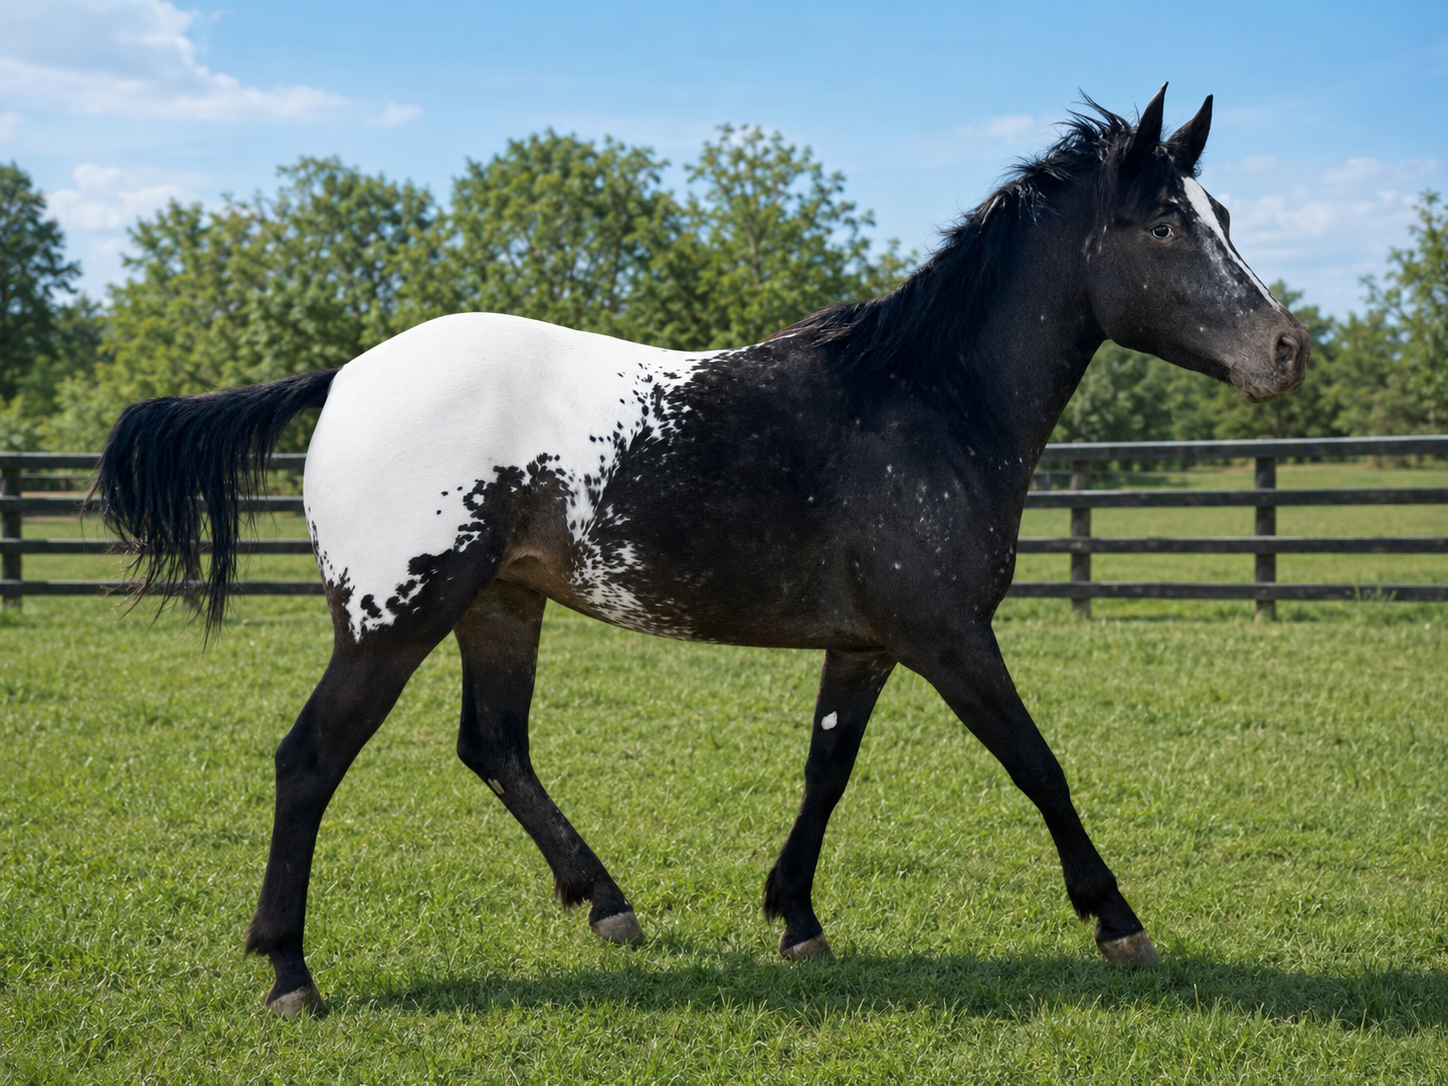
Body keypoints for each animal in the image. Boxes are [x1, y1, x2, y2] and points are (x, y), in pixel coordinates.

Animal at [95, 85, 1310, 1017]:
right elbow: (1038, 765)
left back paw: (609, 905)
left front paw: (797, 919)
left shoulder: (869, 644)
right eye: (1164, 226)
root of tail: (345, 373)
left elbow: (827, 769)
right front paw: (1118, 922)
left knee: (494, 747)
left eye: (1223, 210)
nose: (1286, 349)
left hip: (499, 605)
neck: (921, 401)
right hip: (395, 617)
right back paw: (289, 972)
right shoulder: (948, 635)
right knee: (309, 759)